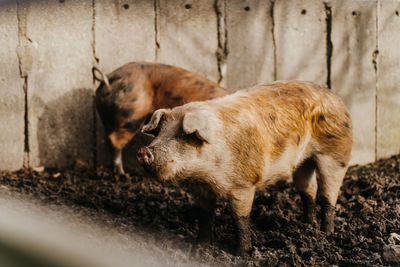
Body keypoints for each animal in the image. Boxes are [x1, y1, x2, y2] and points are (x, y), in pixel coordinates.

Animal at [138, 81, 354, 255]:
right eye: (159, 132)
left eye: (183, 135)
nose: (144, 151)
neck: (206, 175)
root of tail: (336, 97)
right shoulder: (201, 190)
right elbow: (205, 216)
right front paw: (198, 248)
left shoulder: (243, 184)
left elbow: (239, 219)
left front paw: (240, 254)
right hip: (304, 162)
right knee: (308, 189)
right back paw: (308, 225)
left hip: (336, 154)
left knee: (327, 195)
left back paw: (326, 233)